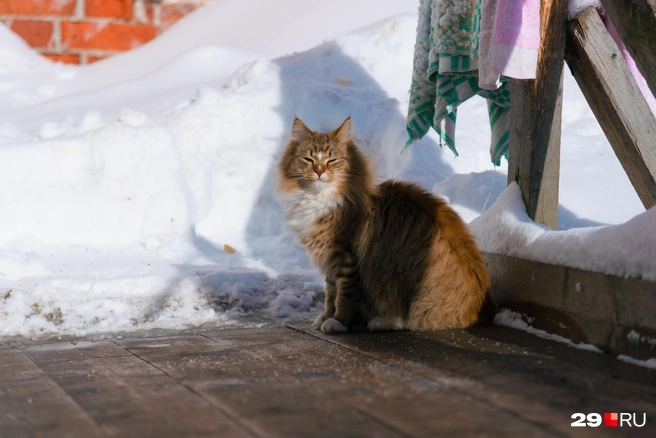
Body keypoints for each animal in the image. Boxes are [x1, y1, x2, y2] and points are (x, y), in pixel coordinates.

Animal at [278, 116, 492, 332]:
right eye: (309, 160)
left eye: (332, 161)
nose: (319, 171)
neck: (318, 199)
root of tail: (479, 308)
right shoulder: (329, 258)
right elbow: (331, 294)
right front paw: (325, 317)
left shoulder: (344, 256)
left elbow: (343, 294)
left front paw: (338, 322)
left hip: (399, 276)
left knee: (405, 319)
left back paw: (378, 321)